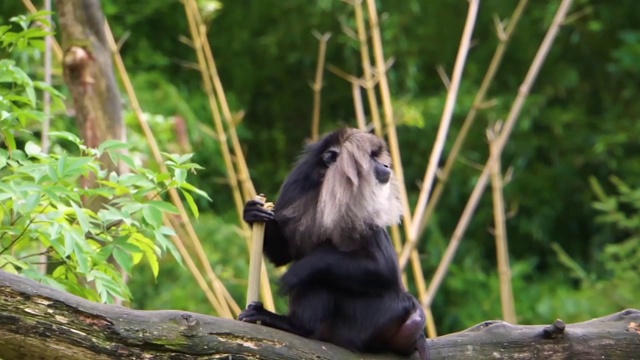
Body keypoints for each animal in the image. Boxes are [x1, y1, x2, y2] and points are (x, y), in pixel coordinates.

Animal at [240, 128, 430, 358]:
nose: (386, 166)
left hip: (376, 318)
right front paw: (253, 212)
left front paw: (299, 271)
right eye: (372, 158)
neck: (326, 185)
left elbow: (384, 268)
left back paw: (297, 326)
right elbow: (283, 254)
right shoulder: (295, 186)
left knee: (319, 276)